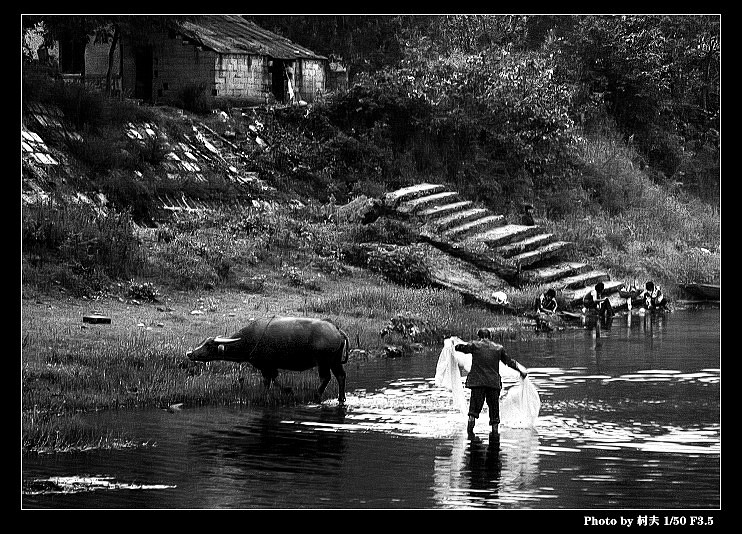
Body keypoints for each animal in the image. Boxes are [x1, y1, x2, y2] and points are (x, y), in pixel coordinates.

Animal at [186, 318, 348, 402]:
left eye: (208, 345)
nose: (189, 353)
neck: (250, 339)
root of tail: (337, 331)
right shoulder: (271, 366)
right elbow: (273, 379)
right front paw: (287, 390)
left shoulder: (266, 365)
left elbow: (268, 381)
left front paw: (286, 390)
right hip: (335, 360)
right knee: (341, 376)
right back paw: (341, 398)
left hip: (323, 361)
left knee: (326, 377)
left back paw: (317, 395)